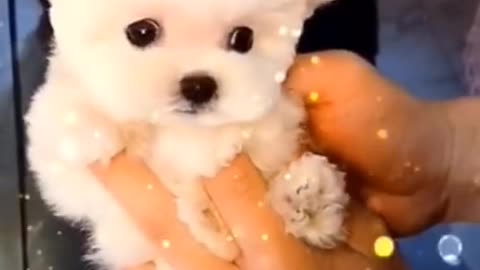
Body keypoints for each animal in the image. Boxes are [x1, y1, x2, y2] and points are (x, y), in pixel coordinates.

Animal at [26, 0, 348, 268]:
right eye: (141, 32)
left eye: (243, 38)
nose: (198, 86)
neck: (178, 128)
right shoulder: (77, 189)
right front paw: (85, 120)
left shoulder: (278, 127)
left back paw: (309, 197)